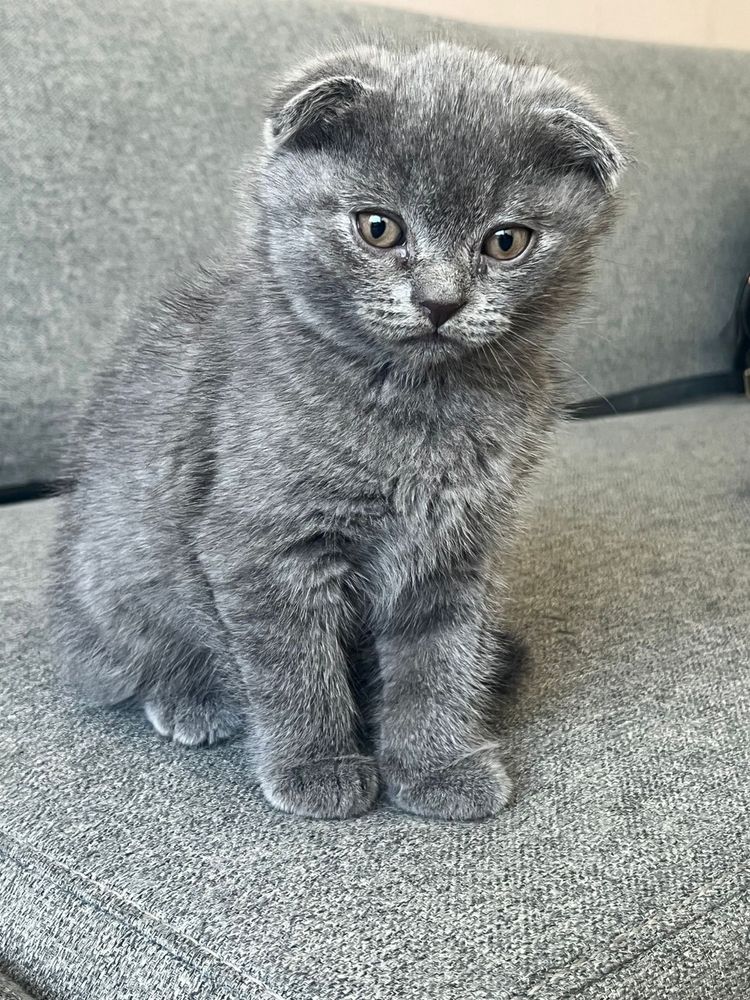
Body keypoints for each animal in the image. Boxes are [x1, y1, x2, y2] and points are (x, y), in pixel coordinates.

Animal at [51, 41, 628, 820]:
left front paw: (439, 764)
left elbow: (439, 656)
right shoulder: (262, 544)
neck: (418, 411)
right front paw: (316, 765)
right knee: (132, 657)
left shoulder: (456, 546)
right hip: (116, 560)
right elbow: (293, 662)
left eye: (507, 241)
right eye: (378, 227)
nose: (440, 301)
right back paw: (193, 699)